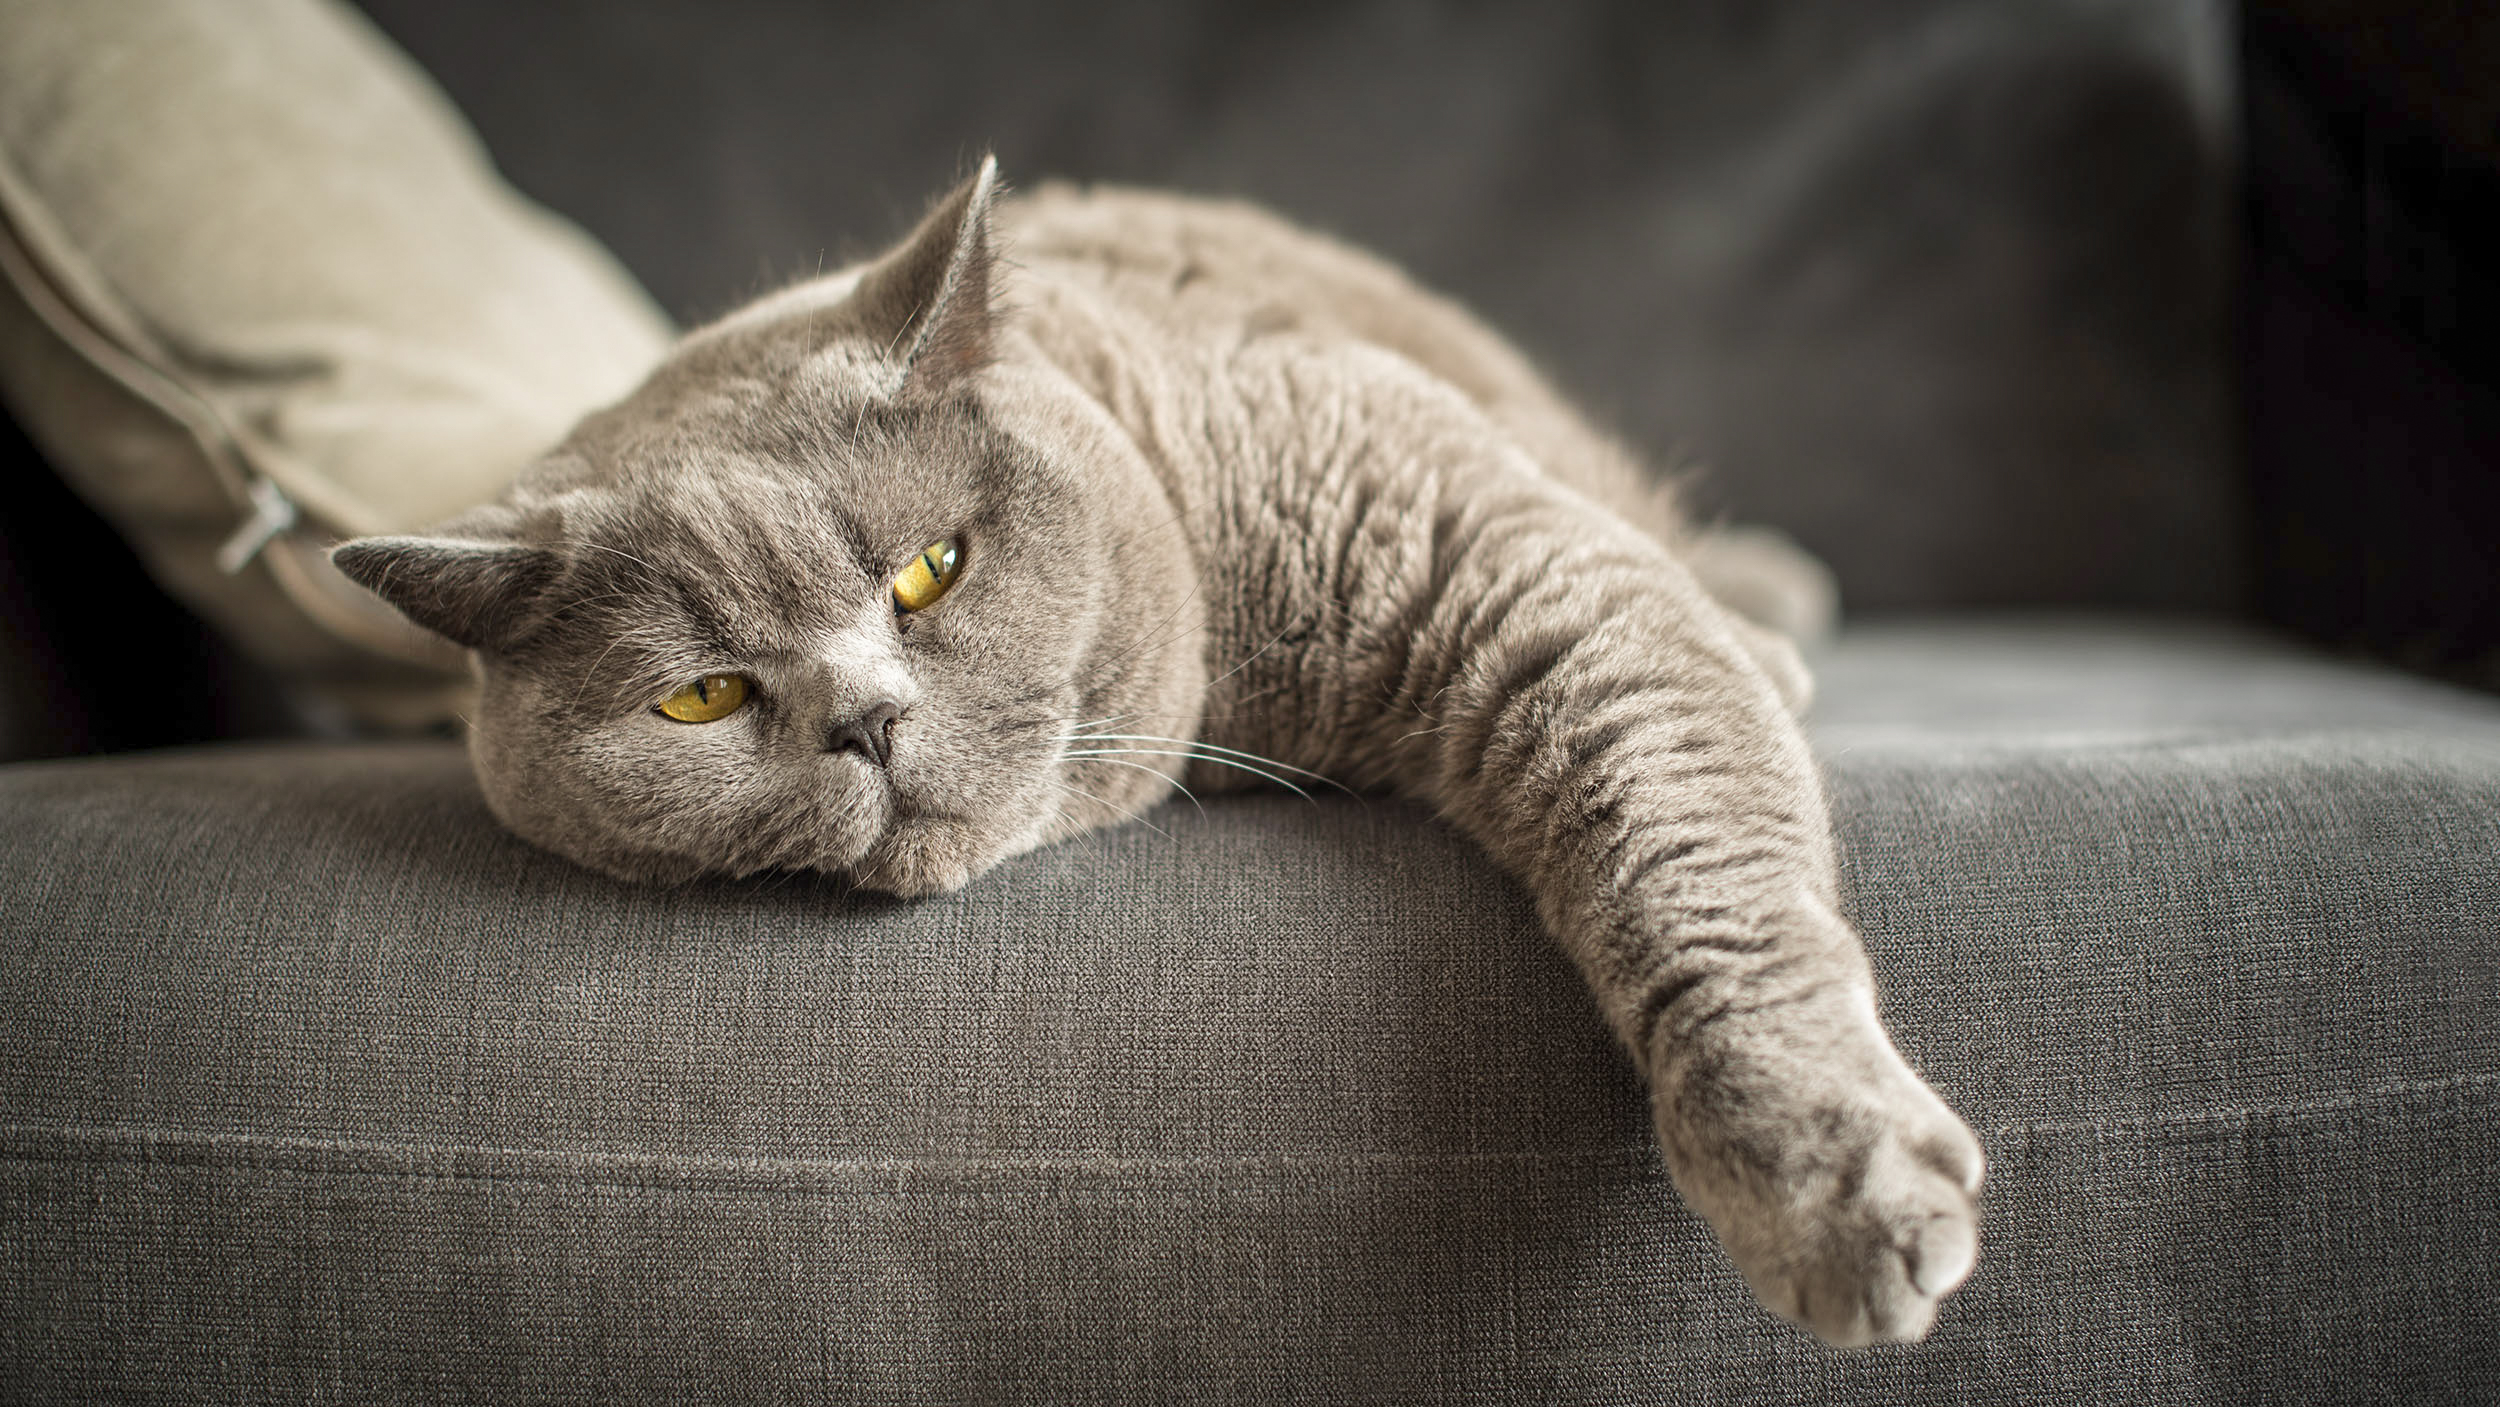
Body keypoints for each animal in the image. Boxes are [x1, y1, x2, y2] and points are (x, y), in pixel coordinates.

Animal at [332, 159, 1980, 1349]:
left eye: (929, 570)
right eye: (702, 698)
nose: (867, 719)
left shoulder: (1526, 574)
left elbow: (1690, 851)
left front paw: (1835, 1193)